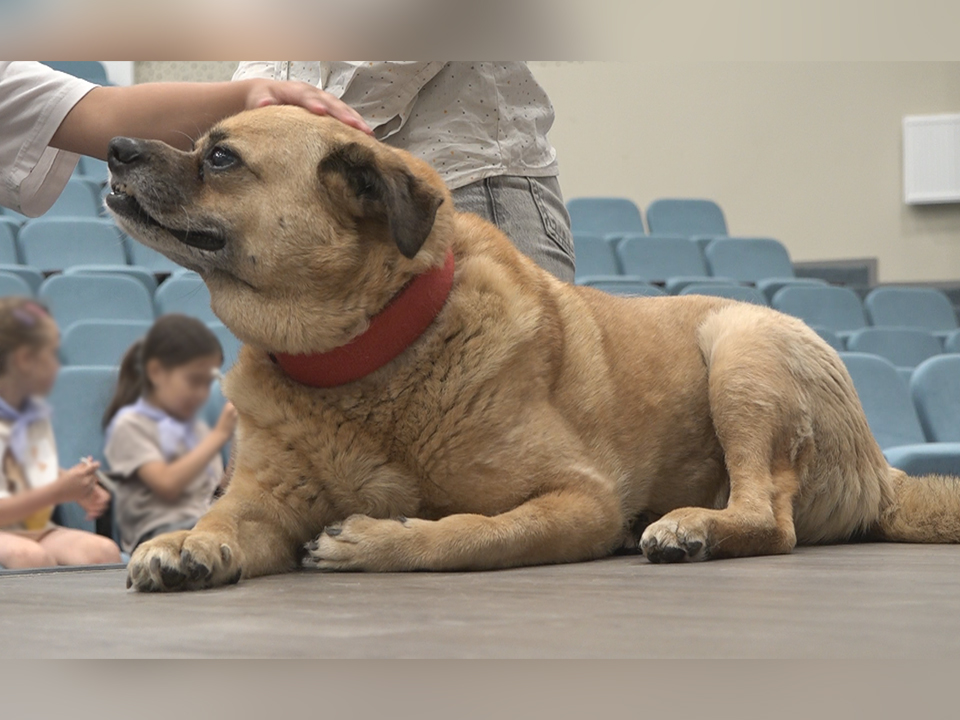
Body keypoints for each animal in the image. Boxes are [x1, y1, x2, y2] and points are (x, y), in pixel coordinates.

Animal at [105, 107, 960, 592]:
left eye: (221, 158)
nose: (114, 146)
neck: (363, 357)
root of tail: (882, 473)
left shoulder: (578, 498)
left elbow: (474, 533)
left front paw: (385, 540)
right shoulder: (261, 502)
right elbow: (225, 522)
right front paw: (187, 542)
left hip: (741, 352)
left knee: (768, 517)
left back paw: (689, 527)